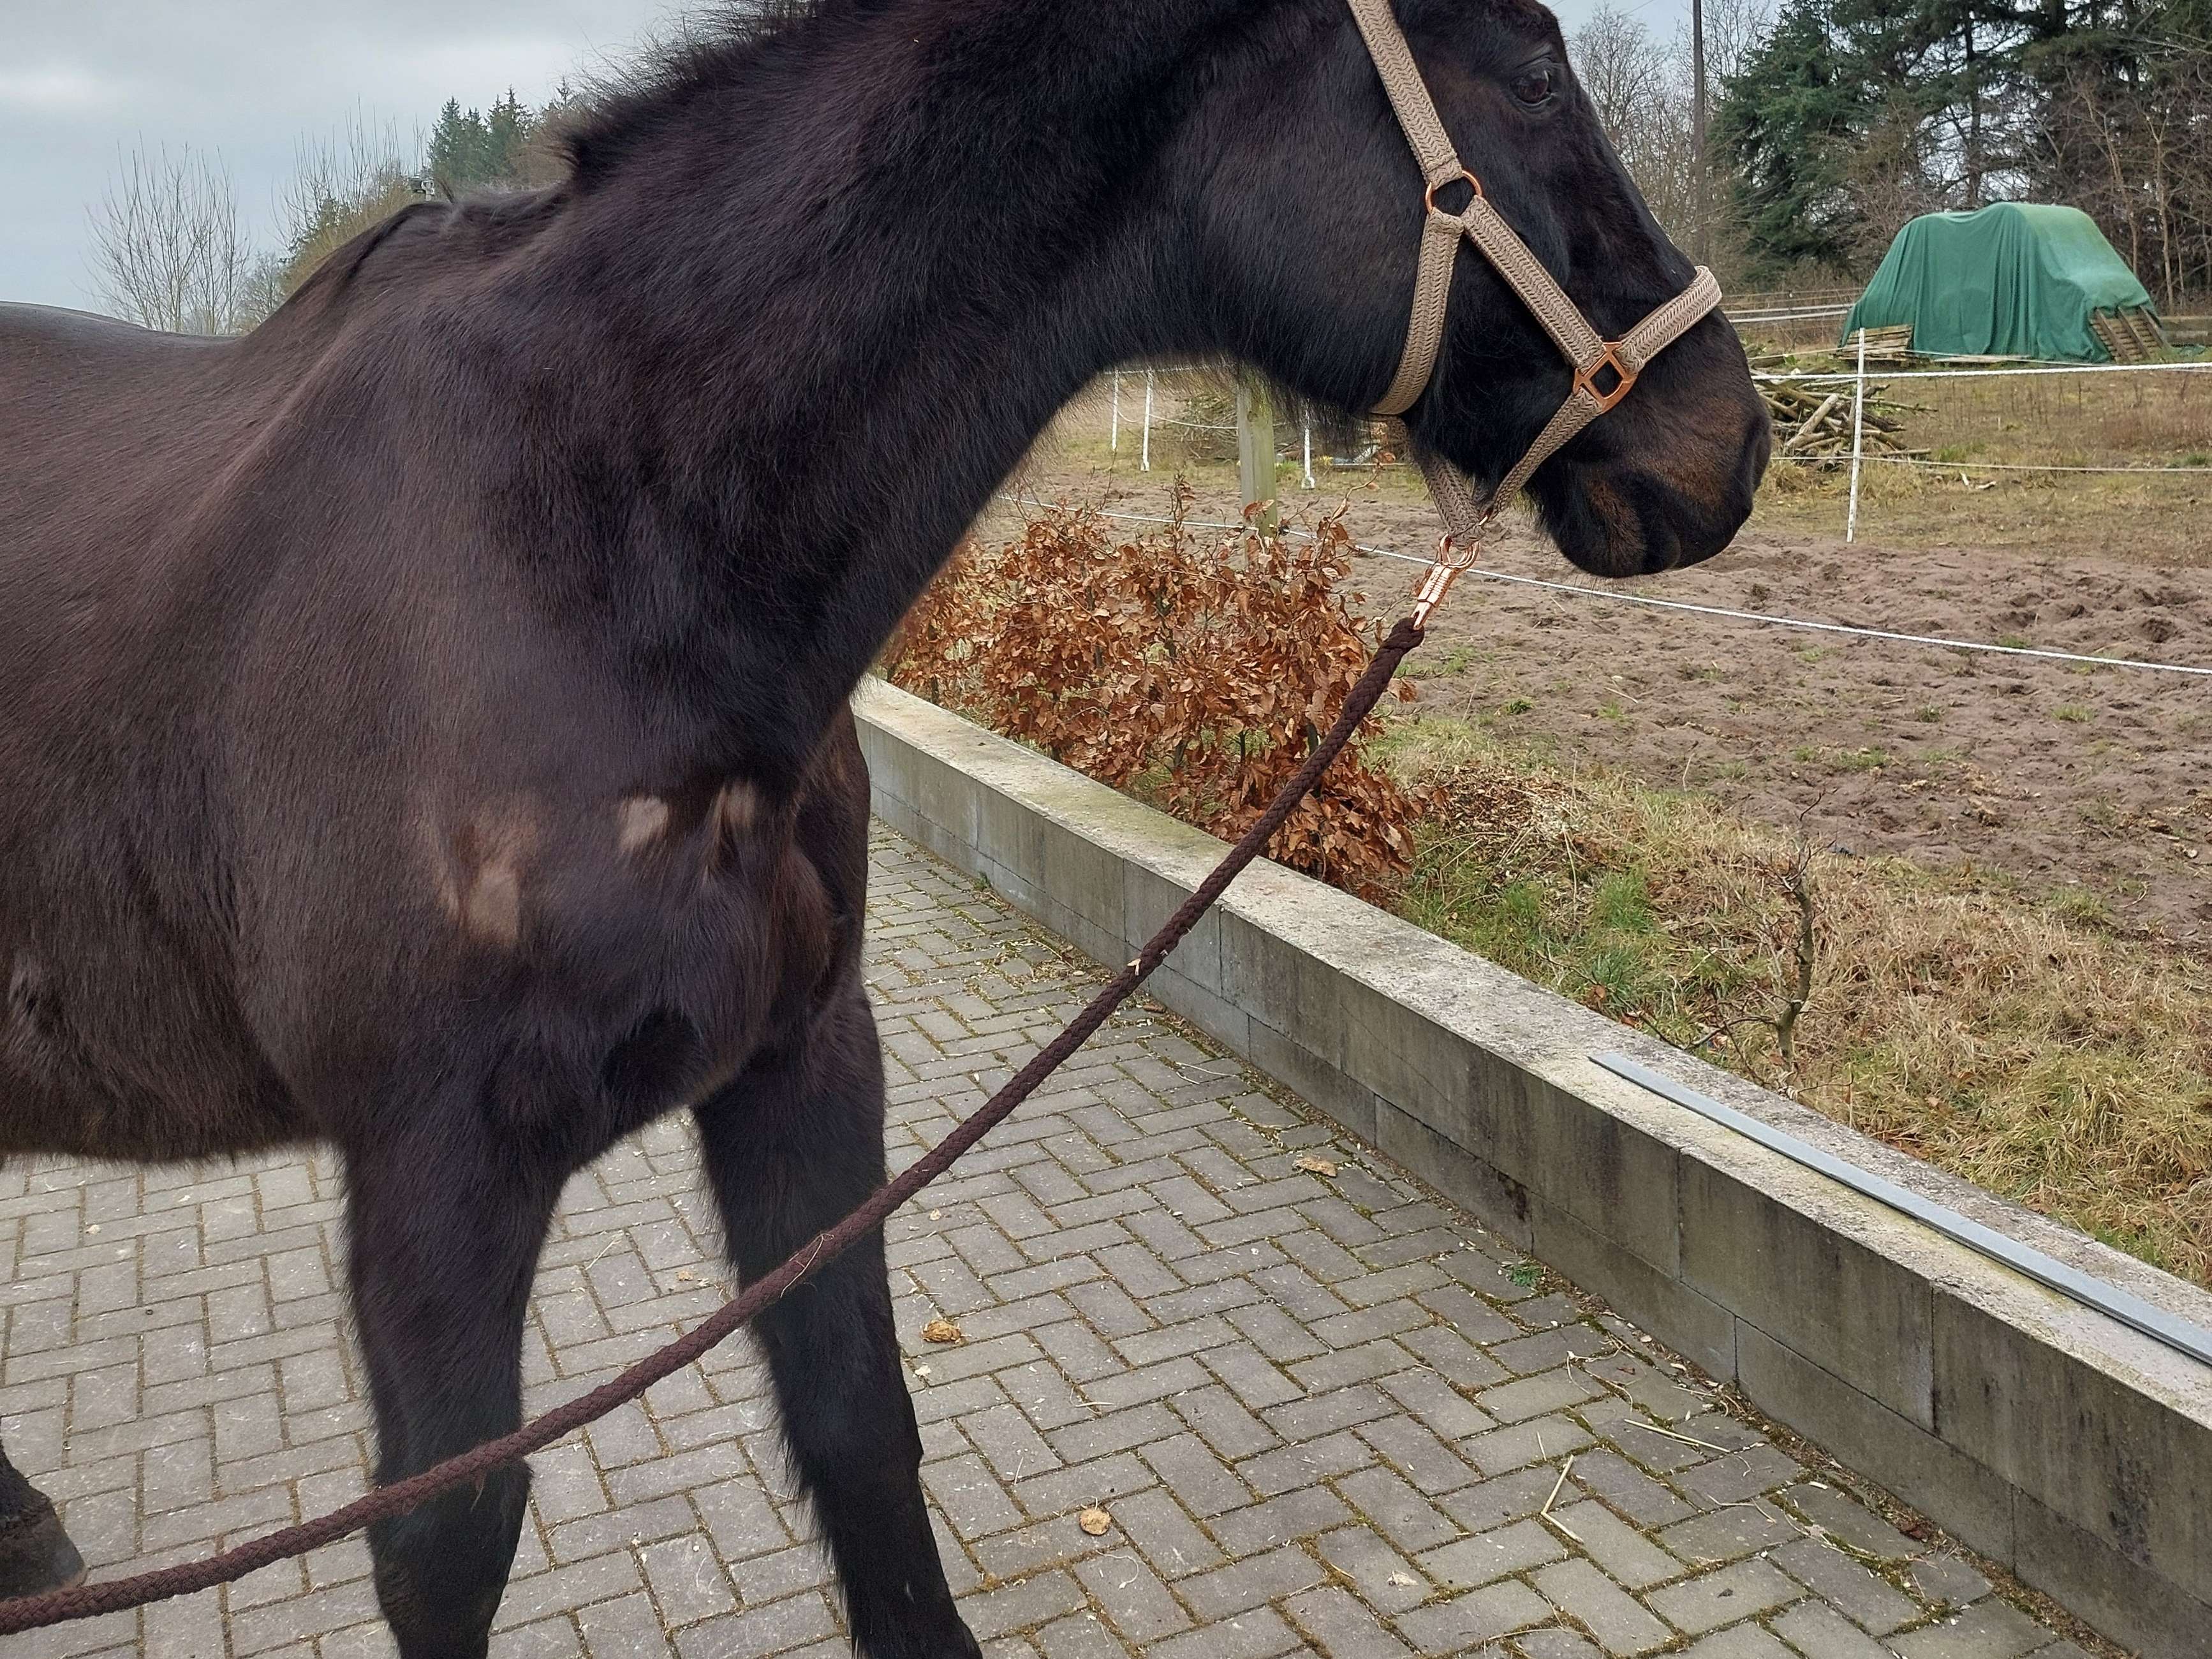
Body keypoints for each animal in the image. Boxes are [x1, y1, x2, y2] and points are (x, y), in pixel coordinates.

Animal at [0, 0, 1769, 1652]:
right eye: (1532, 68)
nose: (1728, 438)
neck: (587, 536)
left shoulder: (804, 1058)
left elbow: (859, 1424)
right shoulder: (435, 1166)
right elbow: (445, 1544)